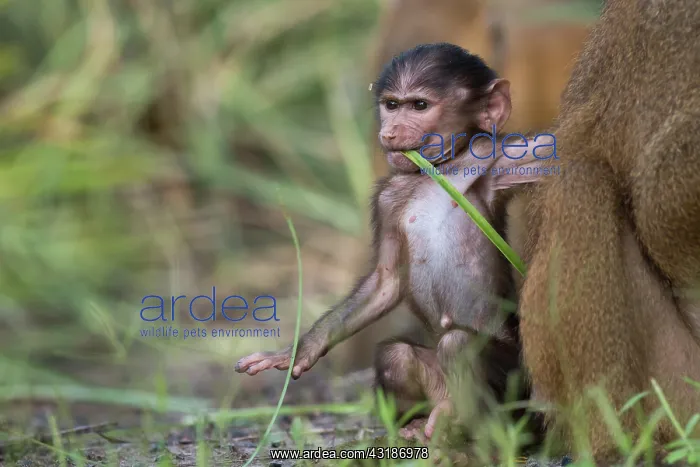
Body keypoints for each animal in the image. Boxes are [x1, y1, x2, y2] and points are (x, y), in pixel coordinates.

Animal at [236, 43, 555, 442]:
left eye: (419, 105)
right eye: (391, 105)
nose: (390, 132)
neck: (437, 171)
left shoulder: (498, 161)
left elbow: (549, 150)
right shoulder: (386, 200)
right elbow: (385, 281)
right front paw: (300, 351)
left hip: (517, 392)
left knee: (459, 346)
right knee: (396, 355)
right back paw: (422, 424)